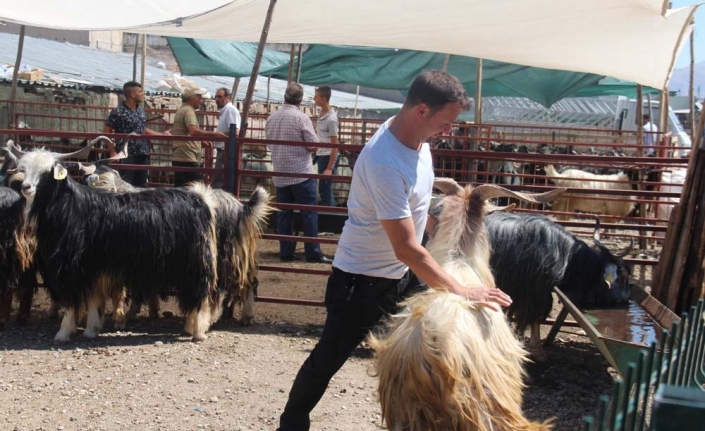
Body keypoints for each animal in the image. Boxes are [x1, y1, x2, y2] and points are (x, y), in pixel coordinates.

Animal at [11, 142, 220, 344]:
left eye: (47, 171)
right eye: (24, 169)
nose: (26, 187)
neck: (70, 207)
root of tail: (200, 200)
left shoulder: (72, 268)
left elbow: (71, 301)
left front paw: (63, 333)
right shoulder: (92, 267)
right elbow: (93, 299)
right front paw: (91, 329)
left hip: (194, 263)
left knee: (200, 293)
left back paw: (198, 332)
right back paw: (191, 327)